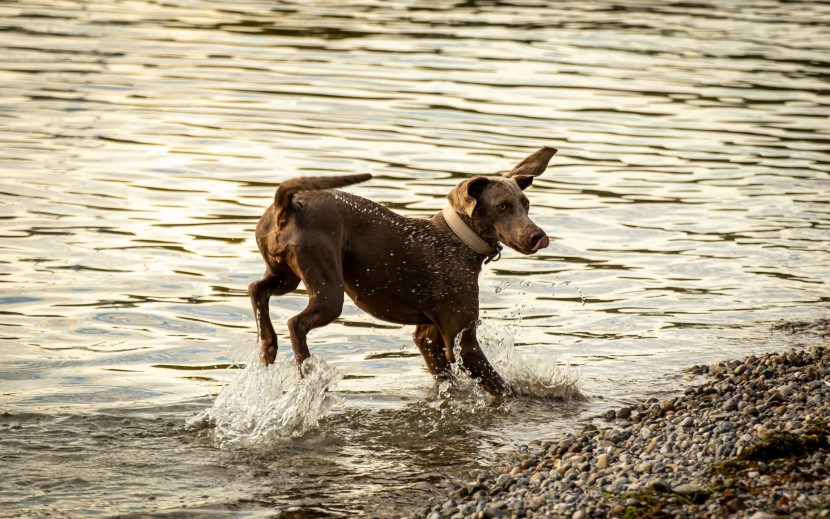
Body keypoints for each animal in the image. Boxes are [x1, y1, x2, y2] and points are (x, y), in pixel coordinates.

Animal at [249, 147, 560, 398]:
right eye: (502, 206)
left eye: (526, 205)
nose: (538, 236)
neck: (460, 242)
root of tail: (289, 205)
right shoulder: (463, 341)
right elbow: (503, 388)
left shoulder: (428, 336)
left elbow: (446, 379)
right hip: (328, 288)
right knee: (295, 322)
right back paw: (307, 371)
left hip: (286, 274)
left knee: (257, 289)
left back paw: (268, 346)